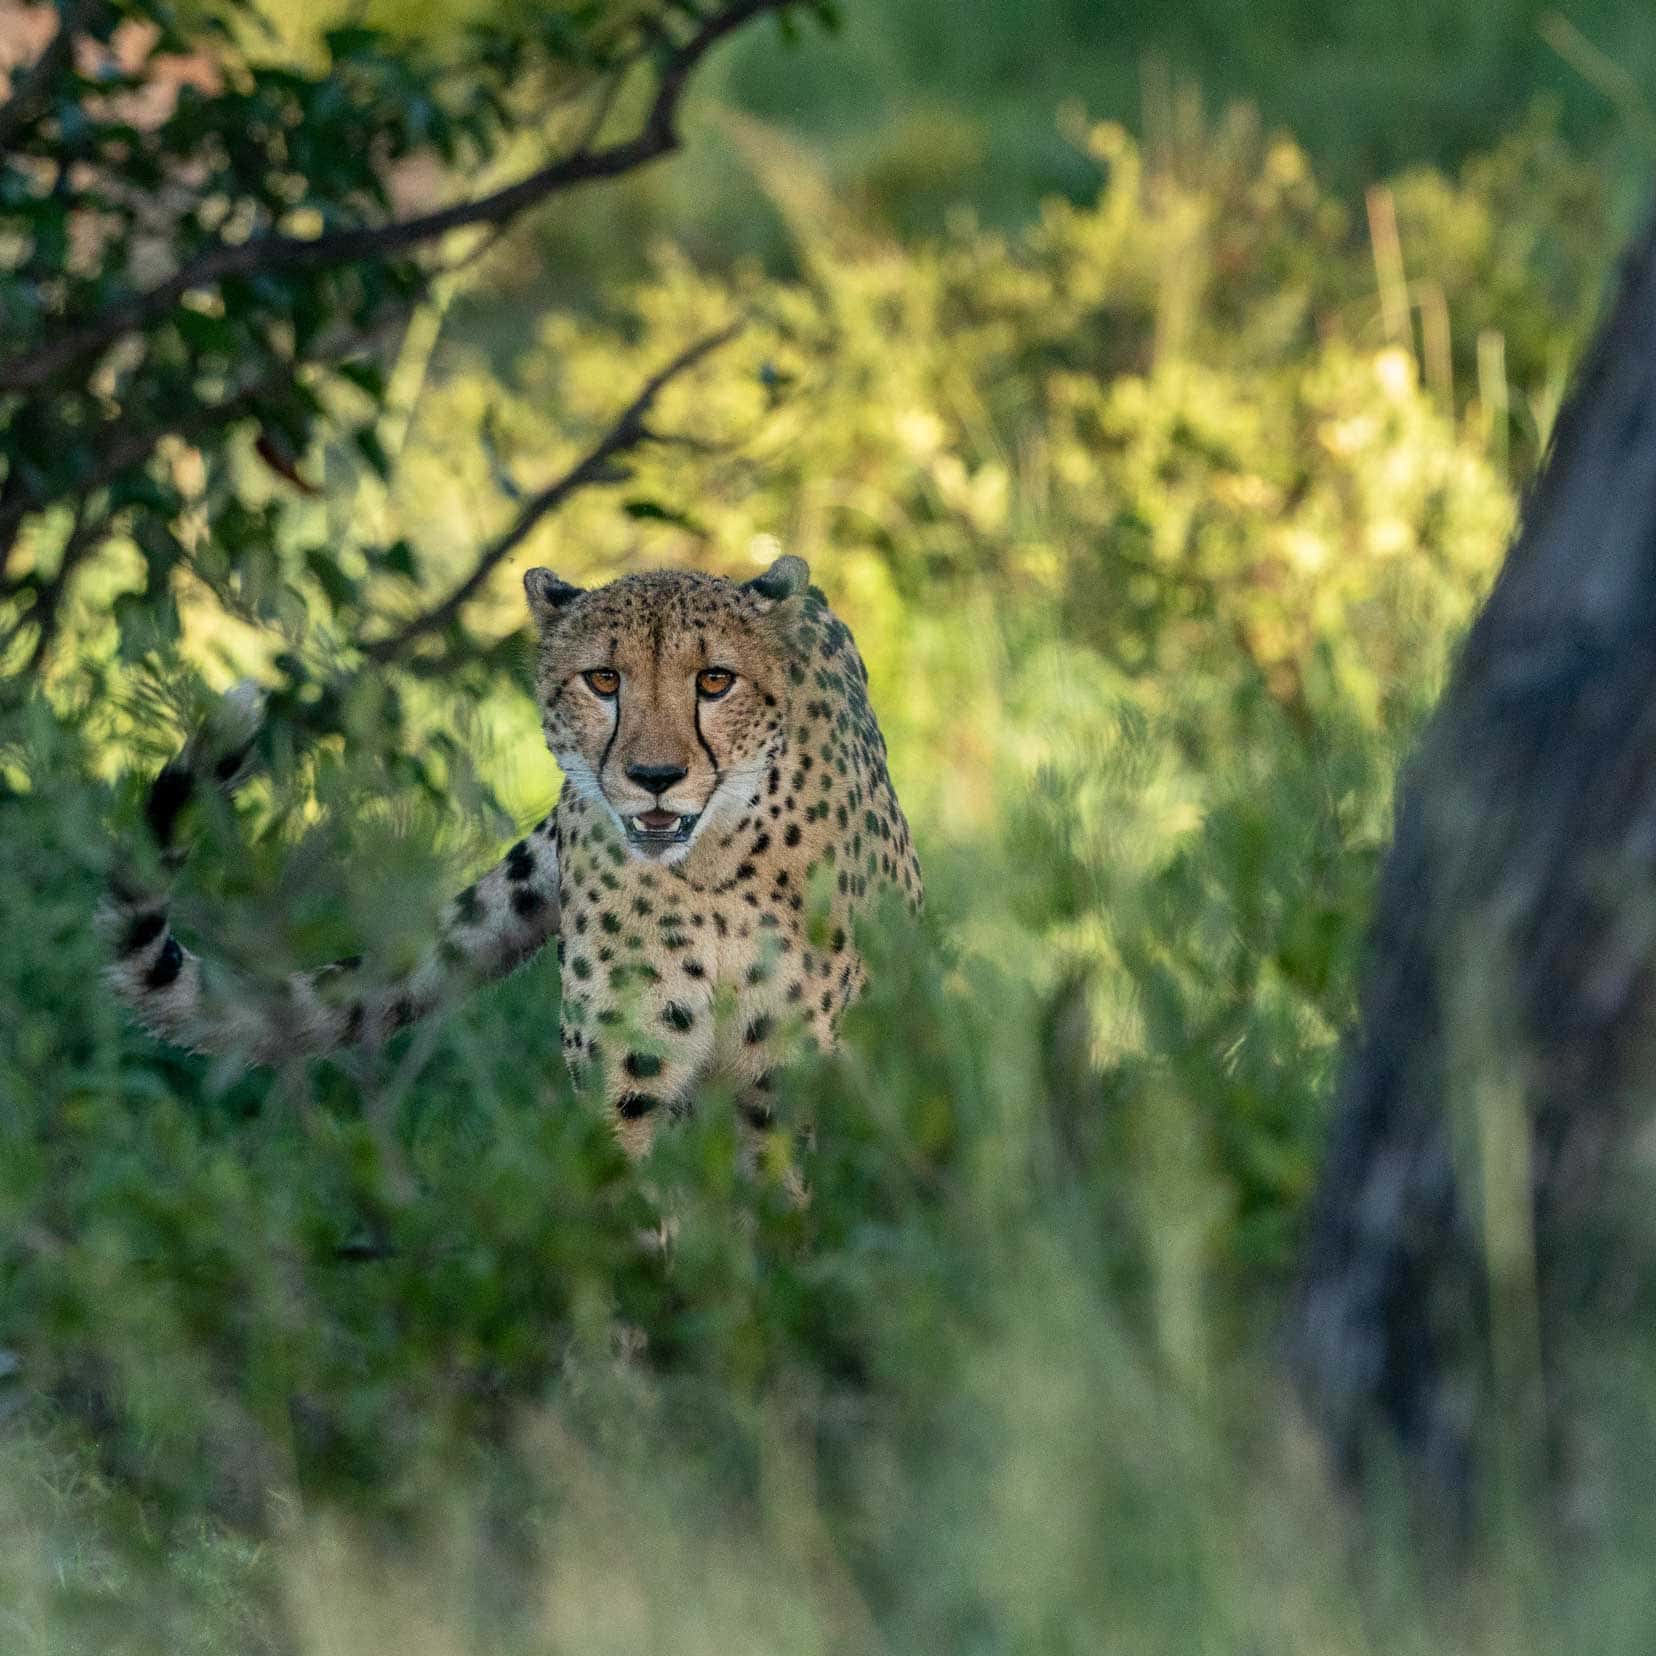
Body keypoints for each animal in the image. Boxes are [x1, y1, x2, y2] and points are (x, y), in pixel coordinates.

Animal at [110, 556, 927, 1152]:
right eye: (603, 679)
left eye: (716, 680)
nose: (654, 778)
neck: (712, 871)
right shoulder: (630, 1079)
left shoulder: (781, 1086)